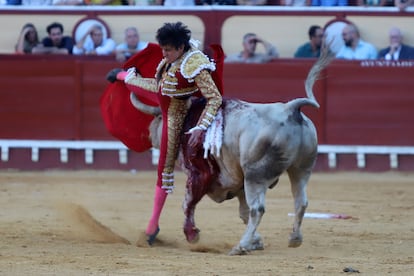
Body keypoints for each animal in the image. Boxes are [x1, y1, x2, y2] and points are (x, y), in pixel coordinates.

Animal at [128, 49, 332, 254]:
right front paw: (257, 242)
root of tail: (290, 109)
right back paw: (294, 238)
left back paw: (241, 246)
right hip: (301, 169)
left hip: (255, 175)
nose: (150, 136)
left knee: (258, 208)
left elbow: (188, 203)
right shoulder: (238, 182)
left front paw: (192, 234)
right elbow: (243, 211)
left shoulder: (198, 174)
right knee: (300, 201)